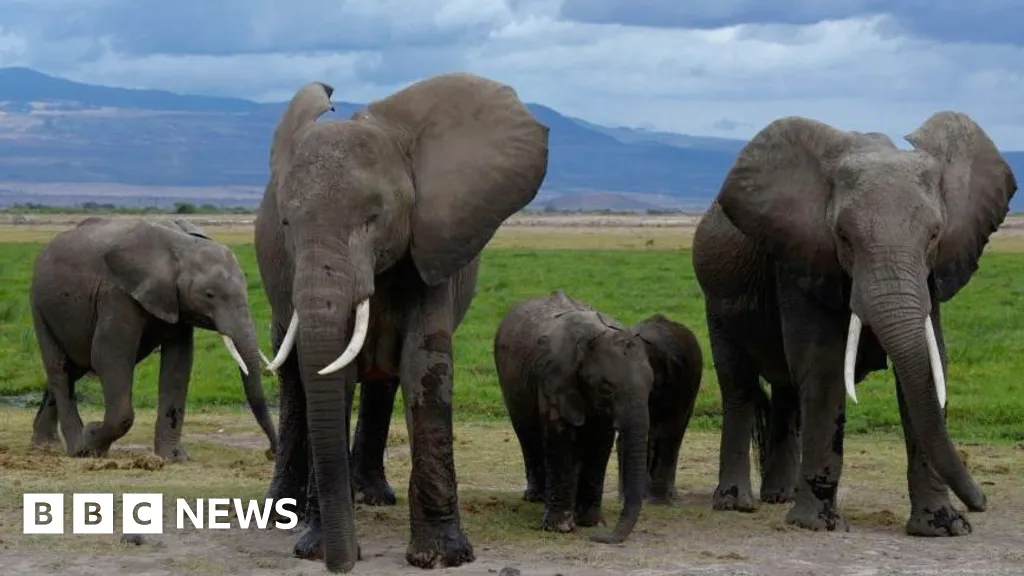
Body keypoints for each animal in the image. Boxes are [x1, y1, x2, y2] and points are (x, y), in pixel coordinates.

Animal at [29, 216, 277, 460]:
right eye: (209, 295)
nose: (271, 453)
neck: (181, 247)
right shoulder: (117, 295)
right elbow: (109, 356)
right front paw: (92, 442)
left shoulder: (175, 303)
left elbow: (178, 364)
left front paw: (173, 458)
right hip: (39, 306)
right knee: (60, 368)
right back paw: (76, 447)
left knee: (73, 368)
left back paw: (45, 446)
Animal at [254, 72, 548, 572]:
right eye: (286, 224)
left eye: (374, 217)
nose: (343, 562)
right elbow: (332, 374)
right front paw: (313, 549)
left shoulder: (431, 246)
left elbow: (424, 367)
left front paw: (443, 557)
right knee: (295, 381)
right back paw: (281, 516)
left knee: (382, 381)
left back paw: (371, 497)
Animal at [493, 289, 654, 544]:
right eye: (607, 388)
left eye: (651, 386)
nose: (600, 537)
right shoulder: (553, 379)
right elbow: (561, 440)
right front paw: (560, 528)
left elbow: (600, 443)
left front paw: (590, 523)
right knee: (527, 435)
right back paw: (536, 497)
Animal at [690, 111, 1017, 536]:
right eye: (843, 237)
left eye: (934, 236)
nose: (981, 503)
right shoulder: (802, 258)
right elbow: (824, 367)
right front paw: (819, 526)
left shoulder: (929, 277)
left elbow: (929, 368)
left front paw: (943, 528)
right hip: (716, 299)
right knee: (739, 386)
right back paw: (737, 504)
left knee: (787, 391)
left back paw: (781, 496)